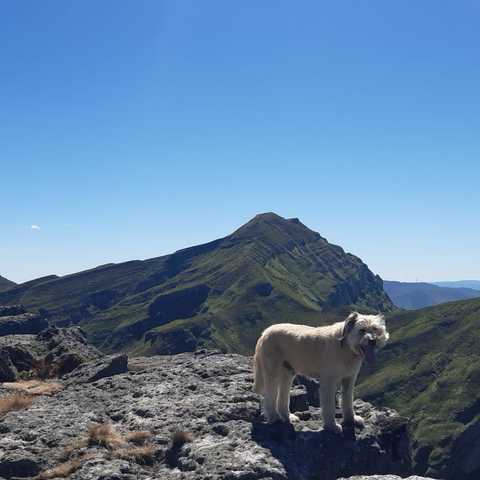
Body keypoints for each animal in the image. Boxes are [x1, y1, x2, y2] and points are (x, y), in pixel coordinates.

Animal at [253, 314, 388, 434]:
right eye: (362, 330)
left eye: (375, 329)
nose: (373, 340)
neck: (346, 346)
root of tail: (264, 333)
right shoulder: (328, 381)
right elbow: (329, 405)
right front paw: (331, 426)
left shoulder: (349, 379)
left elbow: (347, 399)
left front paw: (352, 419)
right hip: (271, 369)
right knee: (269, 395)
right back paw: (274, 418)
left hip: (287, 372)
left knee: (283, 394)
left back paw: (287, 416)